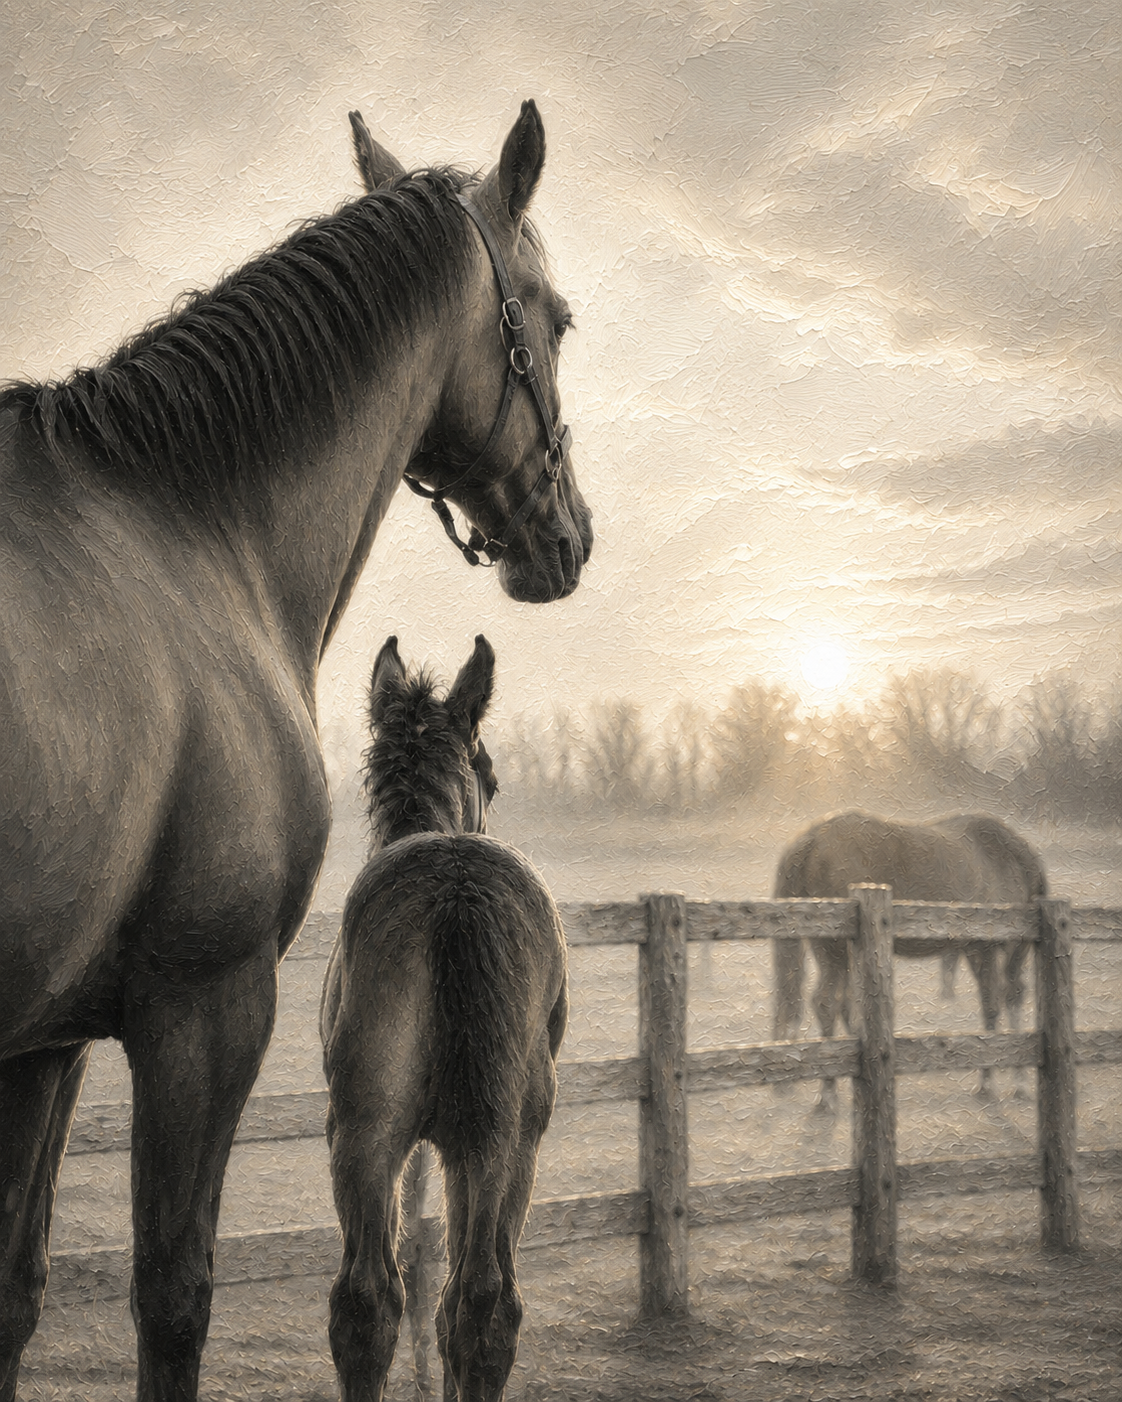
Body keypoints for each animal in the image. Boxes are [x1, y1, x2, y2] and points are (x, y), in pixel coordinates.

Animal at [321, 635, 567, 1402]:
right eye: (490, 773)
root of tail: (456, 892)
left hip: (372, 1130)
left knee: (377, 1298)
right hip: (503, 1136)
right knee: (476, 1302)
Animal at [771, 811, 1047, 1111]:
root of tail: (813, 840)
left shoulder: (980, 948)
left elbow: (992, 1004)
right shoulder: (989, 946)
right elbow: (994, 1005)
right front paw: (993, 1082)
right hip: (834, 950)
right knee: (827, 1003)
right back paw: (828, 1095)